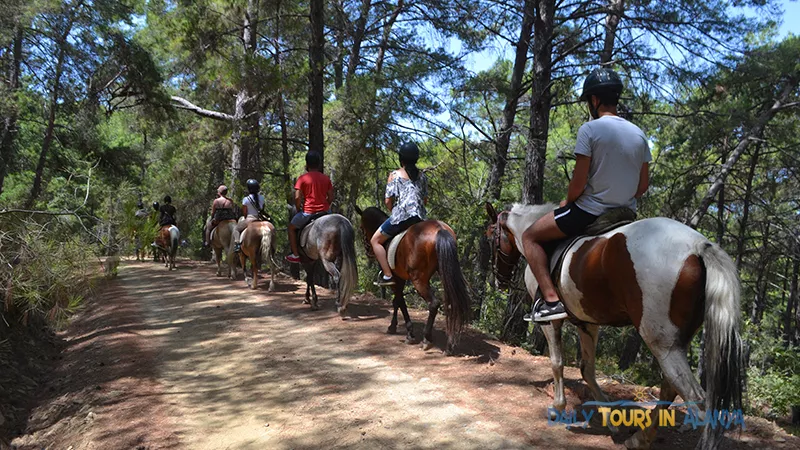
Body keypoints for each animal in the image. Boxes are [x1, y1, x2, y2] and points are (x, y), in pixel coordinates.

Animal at [354, 207, 472, 356]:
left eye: (361, 228)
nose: (368, 251)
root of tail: (440, 229)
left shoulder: (396, 279)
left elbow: (400, 302)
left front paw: (408, 333)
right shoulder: (401, 279)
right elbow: (397, 302)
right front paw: (393, 326)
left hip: (418, 279)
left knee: (433, 303)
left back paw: (427, 339)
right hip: (445, 271)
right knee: (452, 303)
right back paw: (449, 346)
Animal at [484, 204, 748, 450]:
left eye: (490, 235)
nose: (498, 279)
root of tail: (698, 245)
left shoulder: (551, 321)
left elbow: (557, 363)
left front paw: (558, 407)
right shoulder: (587, 323)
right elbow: (587, 370)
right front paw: (611, 419)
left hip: (662, 343)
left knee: (697, 400)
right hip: (674, 344)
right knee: (670, 388)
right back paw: (639, 439)